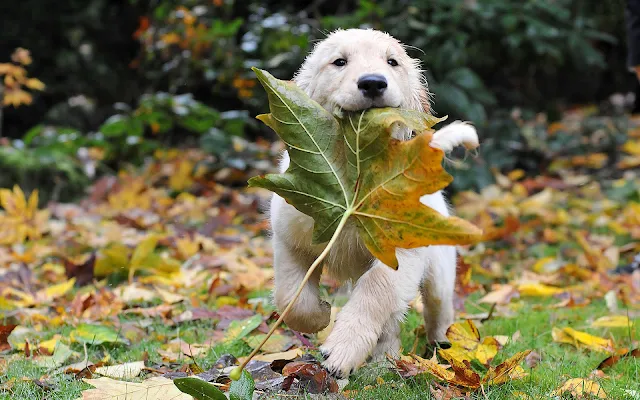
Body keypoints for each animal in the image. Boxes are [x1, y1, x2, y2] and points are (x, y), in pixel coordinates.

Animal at [268, 28, 478, 378]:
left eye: (392, 62)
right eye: (339, 62)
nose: (372, 83)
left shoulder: (401, 252)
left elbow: (376, 291)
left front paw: (343, 348)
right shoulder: (290, 238)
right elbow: (291, 297)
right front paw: (320, 315)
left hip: (439, 269)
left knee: (436, 309)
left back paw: (439, 348)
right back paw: (384, 359)